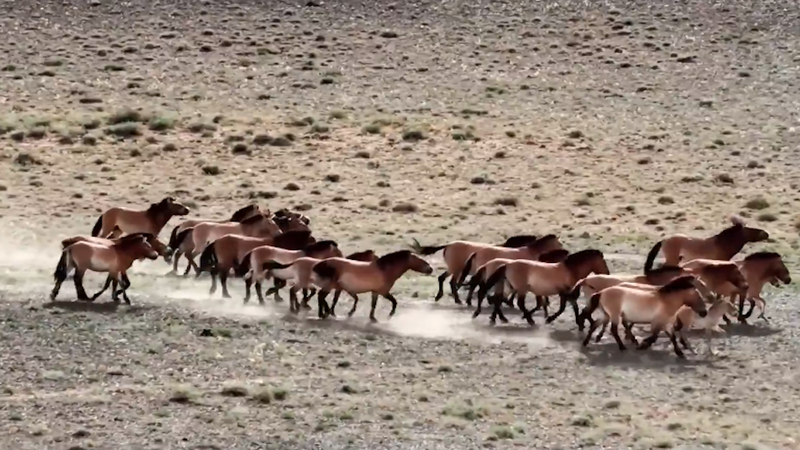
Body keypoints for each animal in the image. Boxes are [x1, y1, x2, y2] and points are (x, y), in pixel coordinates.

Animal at [409, 234, 563, 305]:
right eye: (559, 243)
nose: (564, 250)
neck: (528, 252)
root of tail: (448, 245)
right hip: (457, 269)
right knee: (453, 282)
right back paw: (458, 299)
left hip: (455, 268)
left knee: (443, 278)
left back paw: (442, 297)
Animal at [474, 249, 610, 327]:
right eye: (602, 261)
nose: (607, 273)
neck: (570, 270)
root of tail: (507, 265)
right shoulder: (565, 292)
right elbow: (564, 308)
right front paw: (549, 319)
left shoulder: (567, 293)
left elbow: (573, 306)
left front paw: (581, 322)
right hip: (521, 289)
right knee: (519, 303)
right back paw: (529, 320)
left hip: (508, 286)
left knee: (498, 299)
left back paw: (496, 318)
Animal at [578, 275, 709, 359]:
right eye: (698, 297)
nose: (704, 312)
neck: (666, 301)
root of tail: (601, 293)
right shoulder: (657, 322)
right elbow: (655, 336)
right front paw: (643, 345)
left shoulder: (667, 324)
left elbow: (672, 337)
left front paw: (680, 353)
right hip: (614, 315)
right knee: (613, 330)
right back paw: (622, 347)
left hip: (607, 315)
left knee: (595, 324)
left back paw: (586, 342)